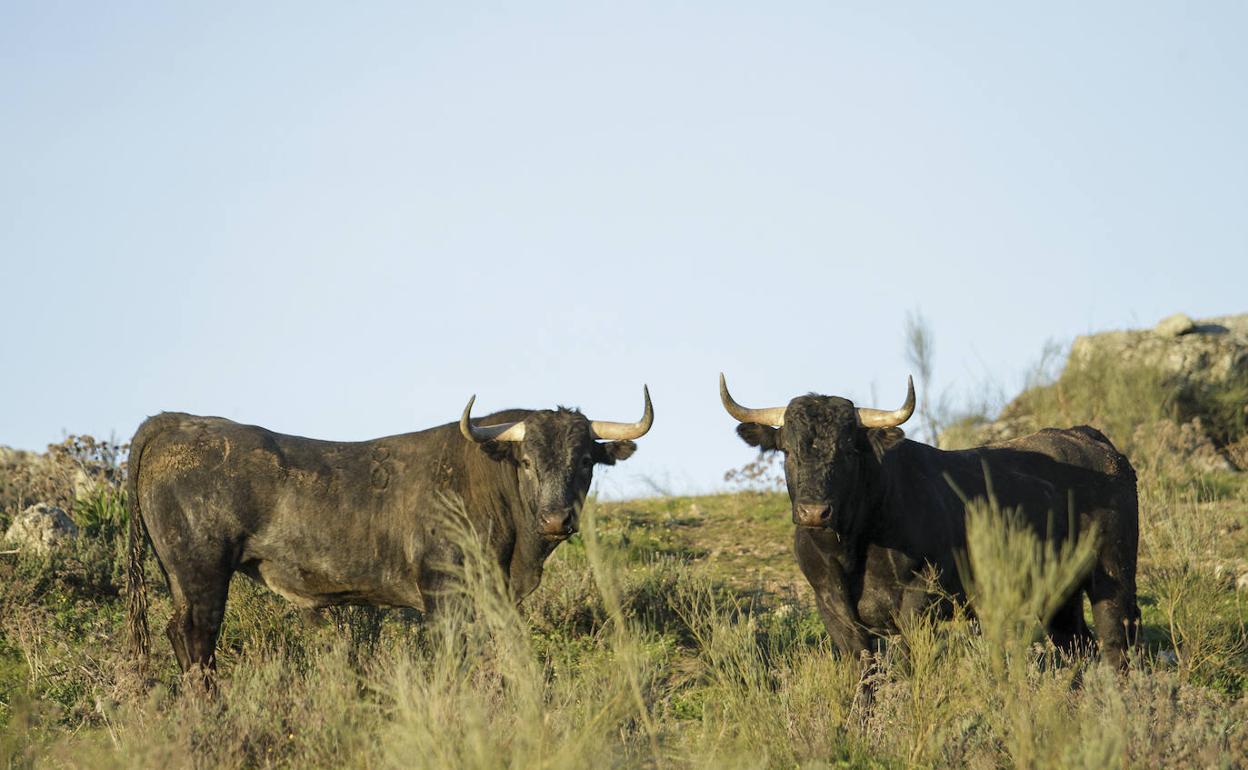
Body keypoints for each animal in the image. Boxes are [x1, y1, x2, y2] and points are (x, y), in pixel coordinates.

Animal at [126, 389, 653, 673]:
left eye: (584, 461)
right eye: (526, 461)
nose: (555, 519)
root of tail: (179, 421)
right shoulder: (444, 594)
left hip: (181, 576)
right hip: (201, 571)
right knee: (196, 636)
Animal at [723, 374, 1143, 668]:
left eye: (848, 450)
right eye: (788, 451)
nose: (814, 512)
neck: (851, 547)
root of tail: (1089, 438)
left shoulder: (920, 596)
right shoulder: (830, 604)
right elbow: (863, 672)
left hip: (1113, 572)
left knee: (1116, 641)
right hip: (1060, 592)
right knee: (1077, 644)